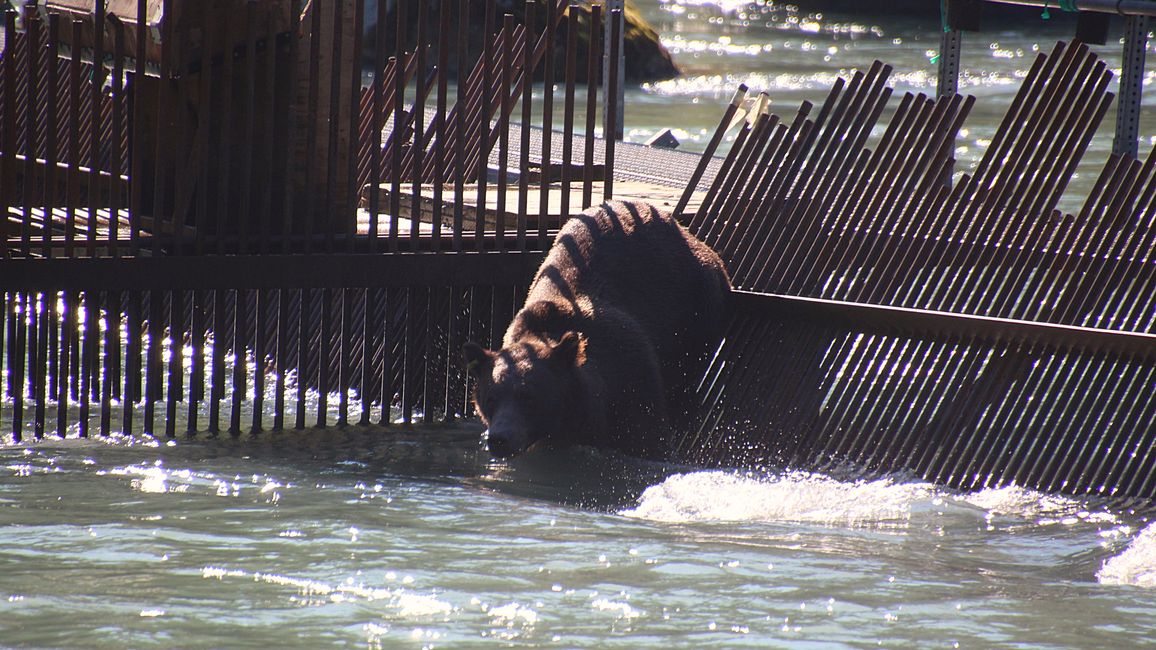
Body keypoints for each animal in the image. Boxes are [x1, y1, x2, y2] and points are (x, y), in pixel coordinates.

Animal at [462, 200, 725, 458]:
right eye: (491, 397)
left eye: (527, 396)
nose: (499, 438)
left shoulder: (631, 372)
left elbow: (647, 435)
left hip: (698, 304)